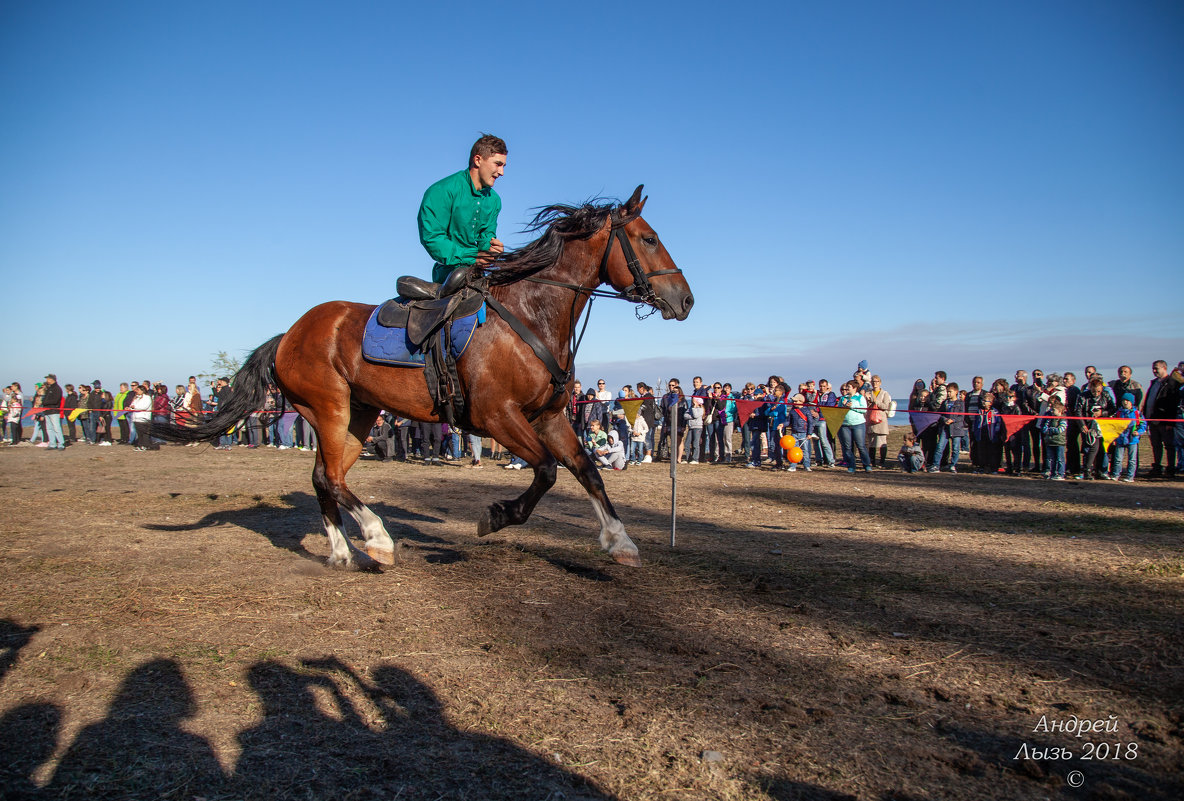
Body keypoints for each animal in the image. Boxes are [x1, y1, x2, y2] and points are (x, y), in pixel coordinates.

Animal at [158, 186, 691, 567]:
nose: (685, 299)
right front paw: (497, 516)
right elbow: (546, 471)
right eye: (649, 239)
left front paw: (620, 541)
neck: (530, 315)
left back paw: (343, 552)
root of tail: (289, 333)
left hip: (358, 414)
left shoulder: (549, 418)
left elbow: (587, 471)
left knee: (324, 478)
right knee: (330, 478)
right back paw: (377, 538)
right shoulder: (498, 416)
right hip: (330, 408)